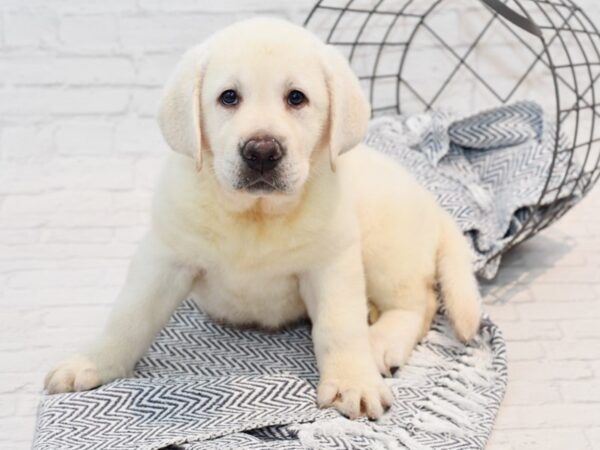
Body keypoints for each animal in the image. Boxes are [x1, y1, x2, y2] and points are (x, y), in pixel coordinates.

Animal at [44, 16, 480, 418]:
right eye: (228, 97)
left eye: (296, 98)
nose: (262, 151)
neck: (255, 214)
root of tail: (433, 204)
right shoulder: (165, 257)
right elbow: (130, 316)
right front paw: (93, 363)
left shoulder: (332, 264)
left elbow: (339, 326)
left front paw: (353, 381)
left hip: (384, 247)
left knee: (419, 304)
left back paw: (379, 343)